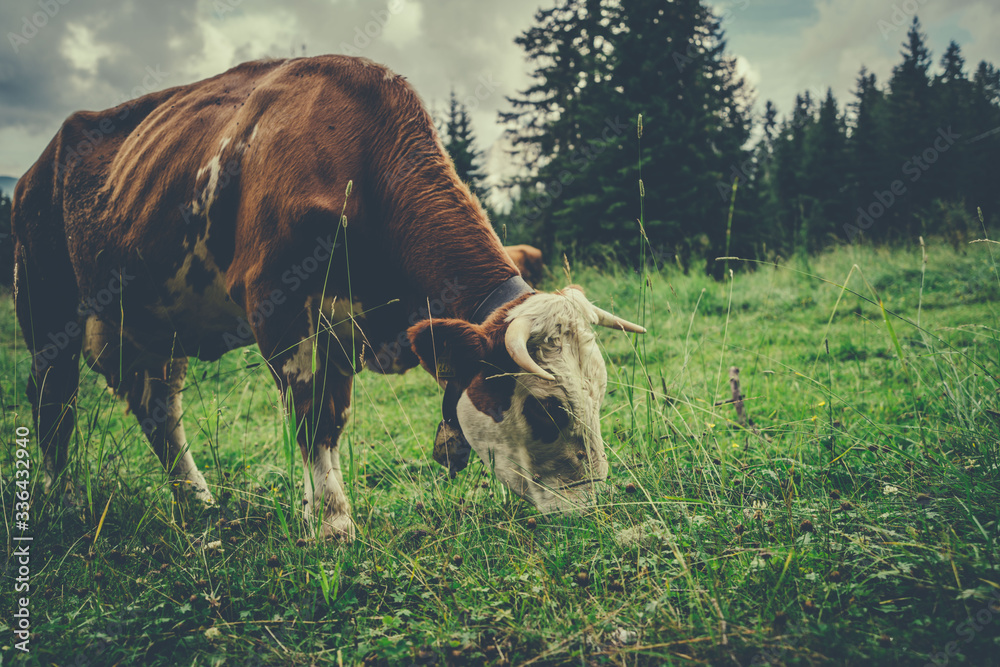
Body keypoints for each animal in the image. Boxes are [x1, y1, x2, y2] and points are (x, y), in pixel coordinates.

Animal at [12, 55, 644, 541]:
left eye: (600, 394)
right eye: (545, 409)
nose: (588, 511)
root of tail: (37, 167)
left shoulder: (352, 325)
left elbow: (341, 413)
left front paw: (325, 509)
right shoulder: (280, 306)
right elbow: (314, 417)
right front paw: (334, 523)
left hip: (153, 323)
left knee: (159, 410)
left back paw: (197, 503)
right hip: (45, 306)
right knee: (53, 401)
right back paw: (63, 504)